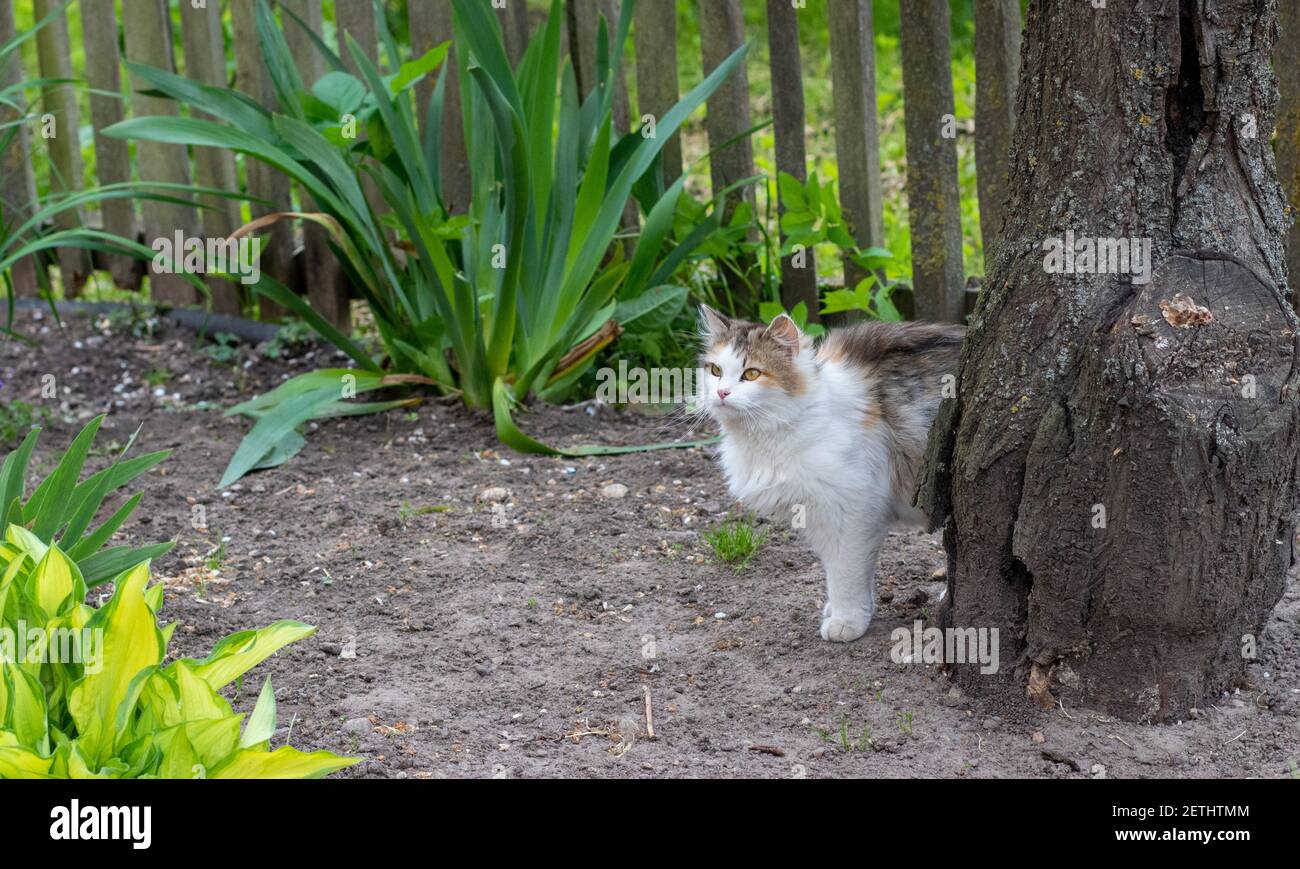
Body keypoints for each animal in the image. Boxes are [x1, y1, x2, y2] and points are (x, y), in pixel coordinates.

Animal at [696, 304, 961, 637]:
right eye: (715, 371)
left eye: (752, 374)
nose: (721, 393)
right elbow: (847, 571)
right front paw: (849, 611)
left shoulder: (851, 511)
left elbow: (845, 572)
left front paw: (847, 621)